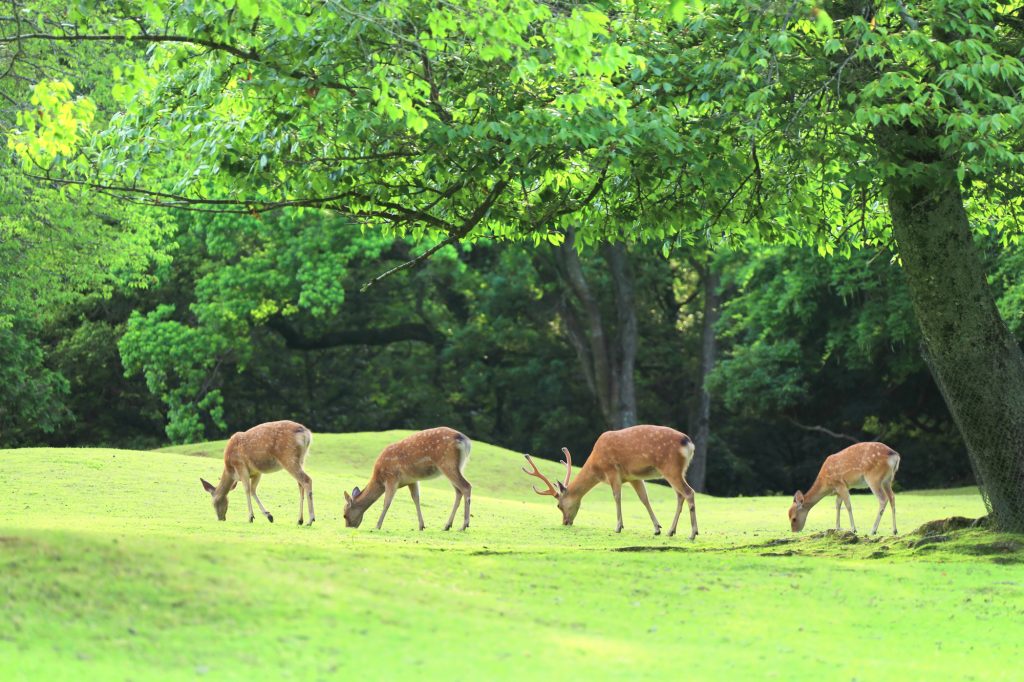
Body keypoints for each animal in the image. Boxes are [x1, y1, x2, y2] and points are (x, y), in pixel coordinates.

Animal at [342, 425, 473, 532]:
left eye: (344, 515)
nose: (348, 527)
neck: (379, 478)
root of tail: (464, 440)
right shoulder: (412, 480)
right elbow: (416, 499)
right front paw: (421, 526)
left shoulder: (392, 478)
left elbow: (387, 502)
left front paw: (377, 526)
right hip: (458, 465)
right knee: (458, 491)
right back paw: (447, 525)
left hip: (447, 462)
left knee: (466, 486)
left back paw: (464, 525)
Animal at [524, 425, 700, 536]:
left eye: (559, 505)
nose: (565, 522)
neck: (596, 466)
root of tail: (689, 443)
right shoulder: (634, 477)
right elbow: (644, 499)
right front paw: (657, 528)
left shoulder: (612, 471)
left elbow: (617, 497)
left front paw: (618, 527)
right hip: (678, 470)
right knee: (680, 496)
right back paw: (671, 531)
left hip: (670, 467)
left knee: (689, 492)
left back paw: (693, 533)